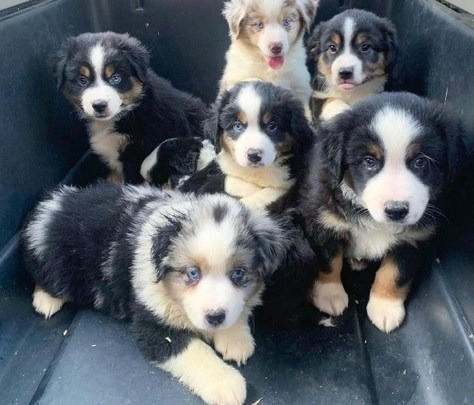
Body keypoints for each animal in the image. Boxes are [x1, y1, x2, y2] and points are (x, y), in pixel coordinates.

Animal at [22, 181, 286, 402]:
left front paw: (235, 339)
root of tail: (53, 203)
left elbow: (239, 309)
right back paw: (46, 301)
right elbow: (194, 350)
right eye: (192, 273)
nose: (215, 317)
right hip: (57, 266)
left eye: (238, 274)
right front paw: (226, 384)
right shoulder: (151, 323)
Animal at [300, 91, 462, 332]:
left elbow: (394, 274)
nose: (396, 210)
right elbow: (329, 262)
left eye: (420, 161)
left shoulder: (412, 239)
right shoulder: (323, 222)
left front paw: (385, 307)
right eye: (369, 161)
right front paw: (329, 296)